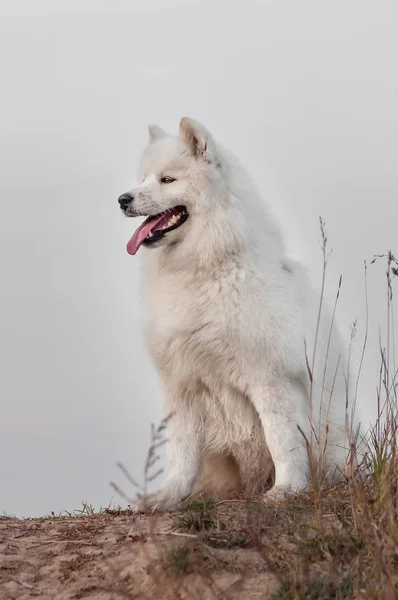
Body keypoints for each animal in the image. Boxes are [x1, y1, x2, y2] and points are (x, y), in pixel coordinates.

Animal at [116, 117, 352, 510]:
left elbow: (282, 440)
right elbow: (180, 451)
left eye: (168, 180)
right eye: (144, 178)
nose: (122, 199)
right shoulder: (182, 383)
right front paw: (168, 496)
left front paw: (287, 490)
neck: (208, 270)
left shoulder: (272, 378)